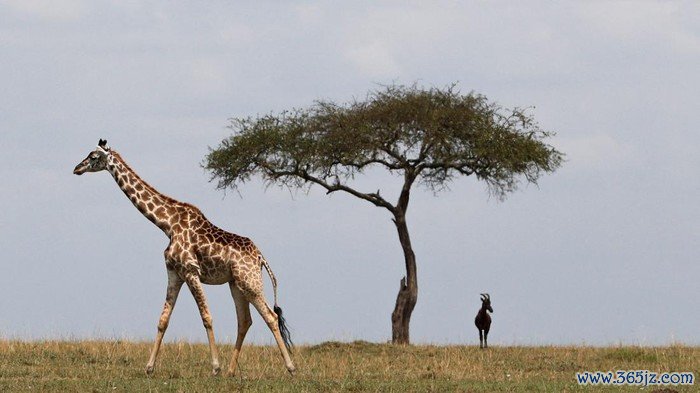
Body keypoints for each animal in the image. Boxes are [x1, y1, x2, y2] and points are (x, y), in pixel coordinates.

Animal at [73, 139, 296, 376]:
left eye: (93, 156)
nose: (76, 168)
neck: (167, 224)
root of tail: (260, 257)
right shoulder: (174, 272)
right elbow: (163, 319)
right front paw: (149, 367)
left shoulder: (191, 271)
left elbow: (206, 317)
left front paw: (215, 367)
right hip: (236, 284)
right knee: (245, 321)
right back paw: (231, 371)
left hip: (250, 282)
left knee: (270, 317)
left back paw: (290, 368)